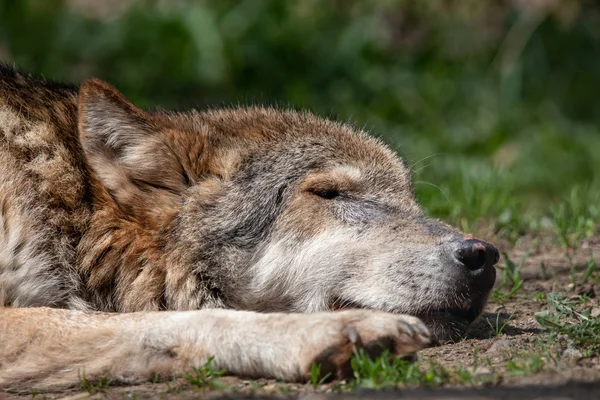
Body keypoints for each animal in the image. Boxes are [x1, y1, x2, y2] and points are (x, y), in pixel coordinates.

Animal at [0, 65, 496, 390]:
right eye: (332, 194)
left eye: (412, 201)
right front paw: (332, 333)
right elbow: (176, 318)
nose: (483, 255)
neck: (69, 215)